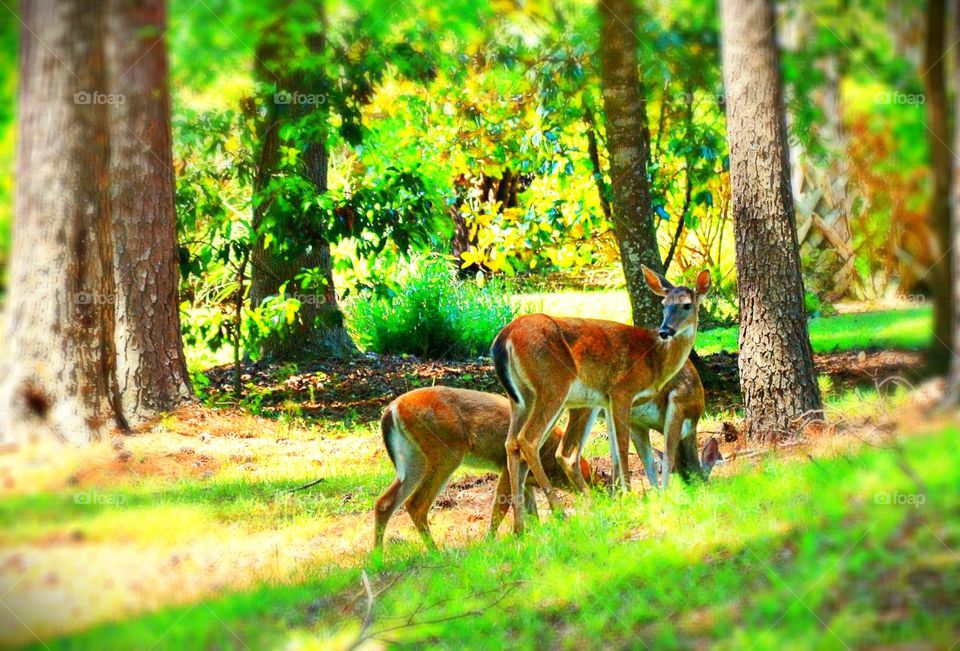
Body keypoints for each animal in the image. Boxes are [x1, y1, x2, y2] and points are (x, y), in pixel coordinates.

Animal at [373, 386, 594, 549]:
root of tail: (392, 408)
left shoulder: (525, 478)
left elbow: (531, 511)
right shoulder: (507, 465)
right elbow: (502, 506)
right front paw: (491, 543)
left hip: (414, 461)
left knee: (384, 503)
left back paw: (378, 557)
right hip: (446, 454)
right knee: (416, 504)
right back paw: (437, 552)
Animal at [559, 359, 722, 493]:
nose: (698, 487)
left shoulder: (636, 423)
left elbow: (647, 464)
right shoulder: (678, 404)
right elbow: (667, 459)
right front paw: (664, 496)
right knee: (567, 454)